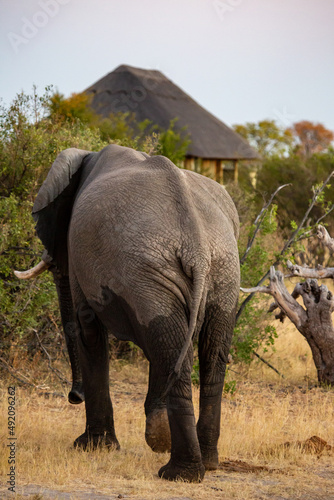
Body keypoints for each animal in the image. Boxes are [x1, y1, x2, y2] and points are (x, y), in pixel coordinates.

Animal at [15, 144, 240, 480]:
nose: (73, 396)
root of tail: (197, 246)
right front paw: (153, 435)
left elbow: (87, 327)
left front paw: (92, 446)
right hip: (219, 271)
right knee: (204, 351)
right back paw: (205, 462)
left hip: (149, 272)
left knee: (170, 346)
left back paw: (177, 473)